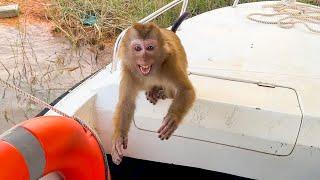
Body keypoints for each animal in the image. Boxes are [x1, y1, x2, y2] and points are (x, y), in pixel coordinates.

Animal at [111, 12, 195, 165]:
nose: (144, 58)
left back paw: (161, 92)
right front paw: (119, 138)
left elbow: (185, 90)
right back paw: (153, 90)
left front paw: (172, 117)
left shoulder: (169, 62)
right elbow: (126, 103)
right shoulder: (128, 69)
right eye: (138, 48)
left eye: (150, 47)